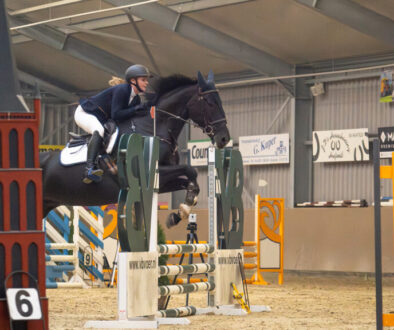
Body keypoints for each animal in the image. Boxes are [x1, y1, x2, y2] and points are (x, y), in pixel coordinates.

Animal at [39, 69, 231, 224]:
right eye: (210, 102)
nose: (224, 138)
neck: (154, 127)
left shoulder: (160, 179)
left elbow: (188, 181)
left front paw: (180, 212)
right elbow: (190, 170)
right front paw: (184, 208)